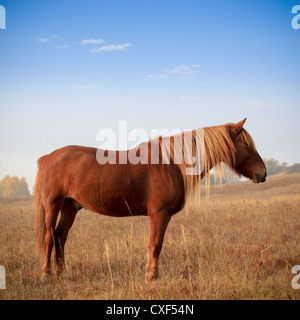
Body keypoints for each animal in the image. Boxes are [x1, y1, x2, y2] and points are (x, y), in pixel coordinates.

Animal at [35, 119, 268, 282]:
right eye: (246, 143)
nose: (263, 173)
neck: (172, 164)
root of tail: (47, 157)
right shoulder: (159, 214)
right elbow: (155, 245)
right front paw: (152, 277)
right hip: (53, 206)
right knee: (49, 237)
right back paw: (46, 275)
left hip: (70, 206)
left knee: (61, 236)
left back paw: (62, 273)